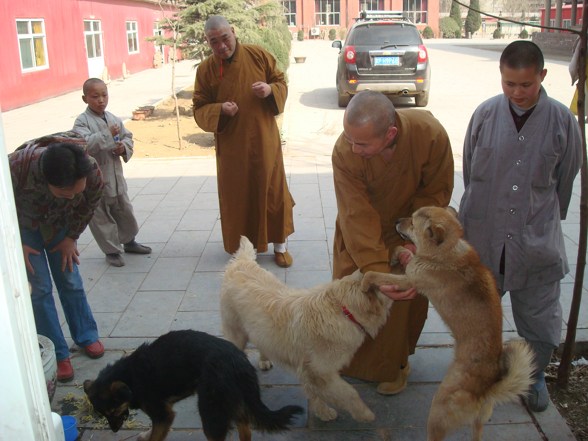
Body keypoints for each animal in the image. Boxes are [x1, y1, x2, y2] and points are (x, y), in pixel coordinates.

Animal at [84, 328, 304, 440]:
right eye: (103, 414)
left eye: (113, 411)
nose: (114, 430)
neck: (129, 376)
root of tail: (238, 361)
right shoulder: (165, 410)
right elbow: (152, 431)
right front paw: (145, 434)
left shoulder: (164, 415)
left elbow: (156, 435)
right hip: (233, 403)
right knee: (245, 430)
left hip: (211, 412)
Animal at [360, 206, 536, 440]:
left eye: (413, 223)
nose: (397, 220)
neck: (445, 252)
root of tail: (487, 388)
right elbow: (402, 252)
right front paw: (397, 255)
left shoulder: (410, 280)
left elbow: (375, 274)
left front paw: (366, 281)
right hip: (478, 422)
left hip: (438, 409)